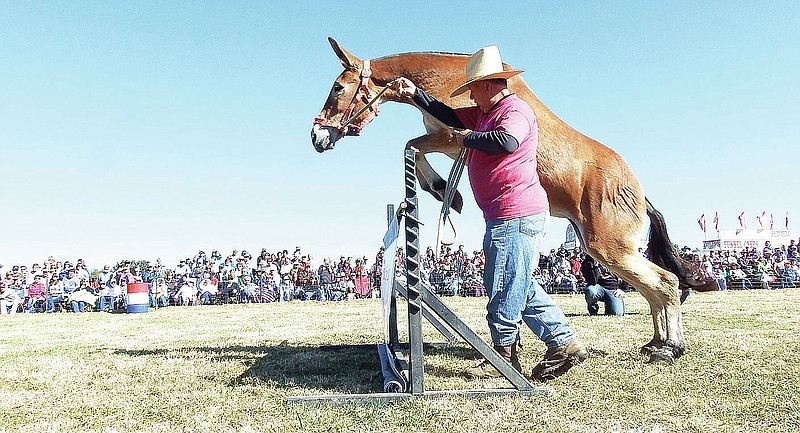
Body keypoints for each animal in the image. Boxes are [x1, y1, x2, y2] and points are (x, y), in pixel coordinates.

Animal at [310, 37, 704, 362]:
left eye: (338, 87)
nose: (317, 137)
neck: (450, 80)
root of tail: (639, 193)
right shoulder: (443, 136)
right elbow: (412, 146)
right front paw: (445, 191)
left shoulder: (453, 138)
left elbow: (411, 145)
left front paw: (444, 189)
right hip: (606, 249)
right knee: (655, 289)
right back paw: (655, 343)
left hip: (610, 247)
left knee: (666, 284)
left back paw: (669, 348)